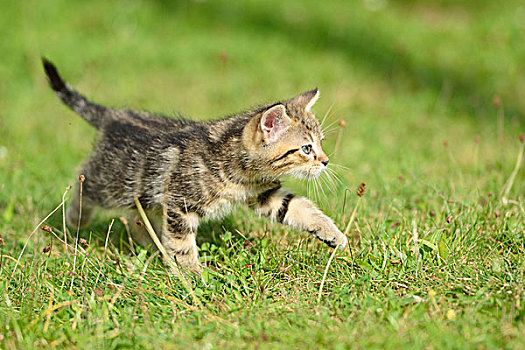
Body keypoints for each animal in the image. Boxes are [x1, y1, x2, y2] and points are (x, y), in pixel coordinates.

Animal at [43, 58, 348, 274]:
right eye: (307, 148)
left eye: (321, 143)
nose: (325, 161)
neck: (240, 171)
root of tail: (113, 115)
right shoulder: (180, 204)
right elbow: (182, 246)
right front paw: (193, 280)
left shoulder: (263, 194)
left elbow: (298, 207)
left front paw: (333, 234)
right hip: (113, 181)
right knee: (84, 180)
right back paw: (74, 220)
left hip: (145, 191)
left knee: (138, 216)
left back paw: (152, 245)